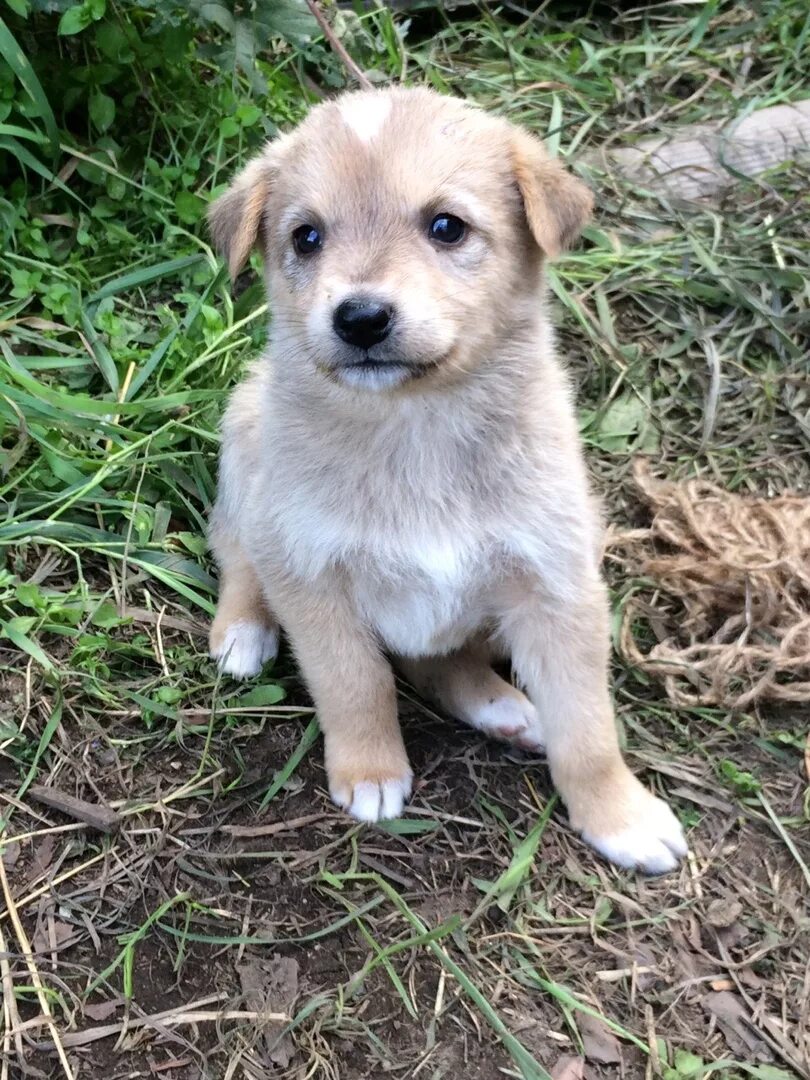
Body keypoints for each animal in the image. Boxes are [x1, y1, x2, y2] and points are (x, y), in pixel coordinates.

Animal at [206, 88, 686, 872]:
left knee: (443, 663)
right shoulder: (312, 574)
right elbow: (356, 683)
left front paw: (621, 816)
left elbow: (587, 726)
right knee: (239, 550)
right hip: (248, 442)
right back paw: (243, 628)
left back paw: (506, 710)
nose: (361, 317)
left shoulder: (558, 585)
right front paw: (370, 770)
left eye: (446, 227)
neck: (415, 427)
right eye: (306, 237)